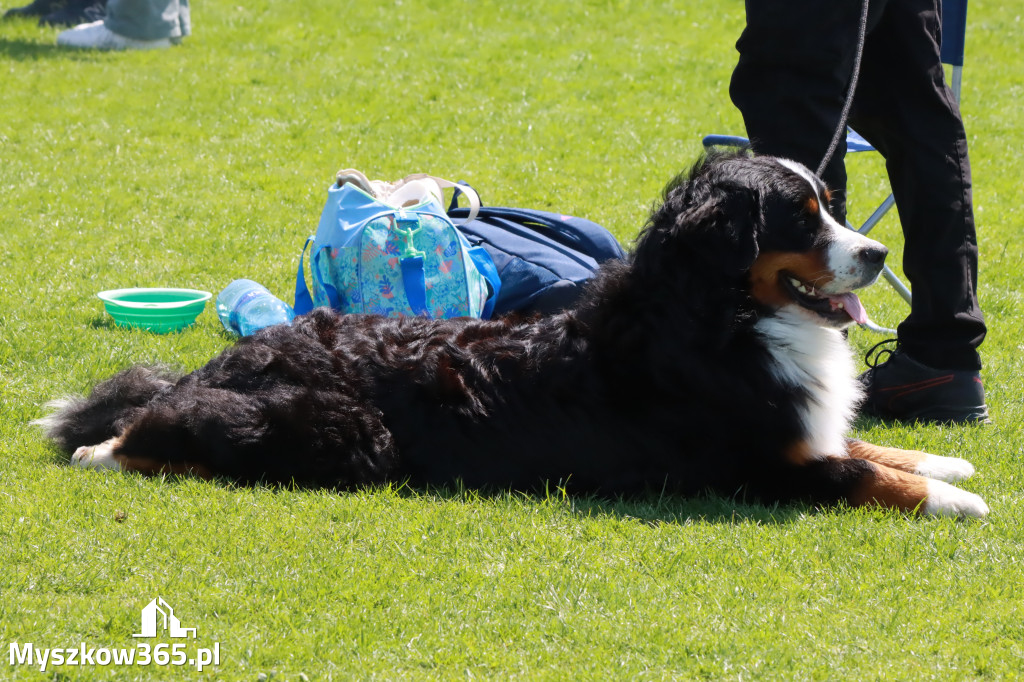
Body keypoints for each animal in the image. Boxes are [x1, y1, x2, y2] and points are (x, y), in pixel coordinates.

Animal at [36, 151, 987, 516]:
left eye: (831, 204)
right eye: (801, 216)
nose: (879, 252)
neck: (719, 322)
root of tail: (218, 363)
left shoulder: (798, 429)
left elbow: (868, 446)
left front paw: (944, 462)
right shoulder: (756, 466)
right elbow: (861, 474)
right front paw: (956, 501)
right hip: (346, 432)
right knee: (137, 440)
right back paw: (106, 449)